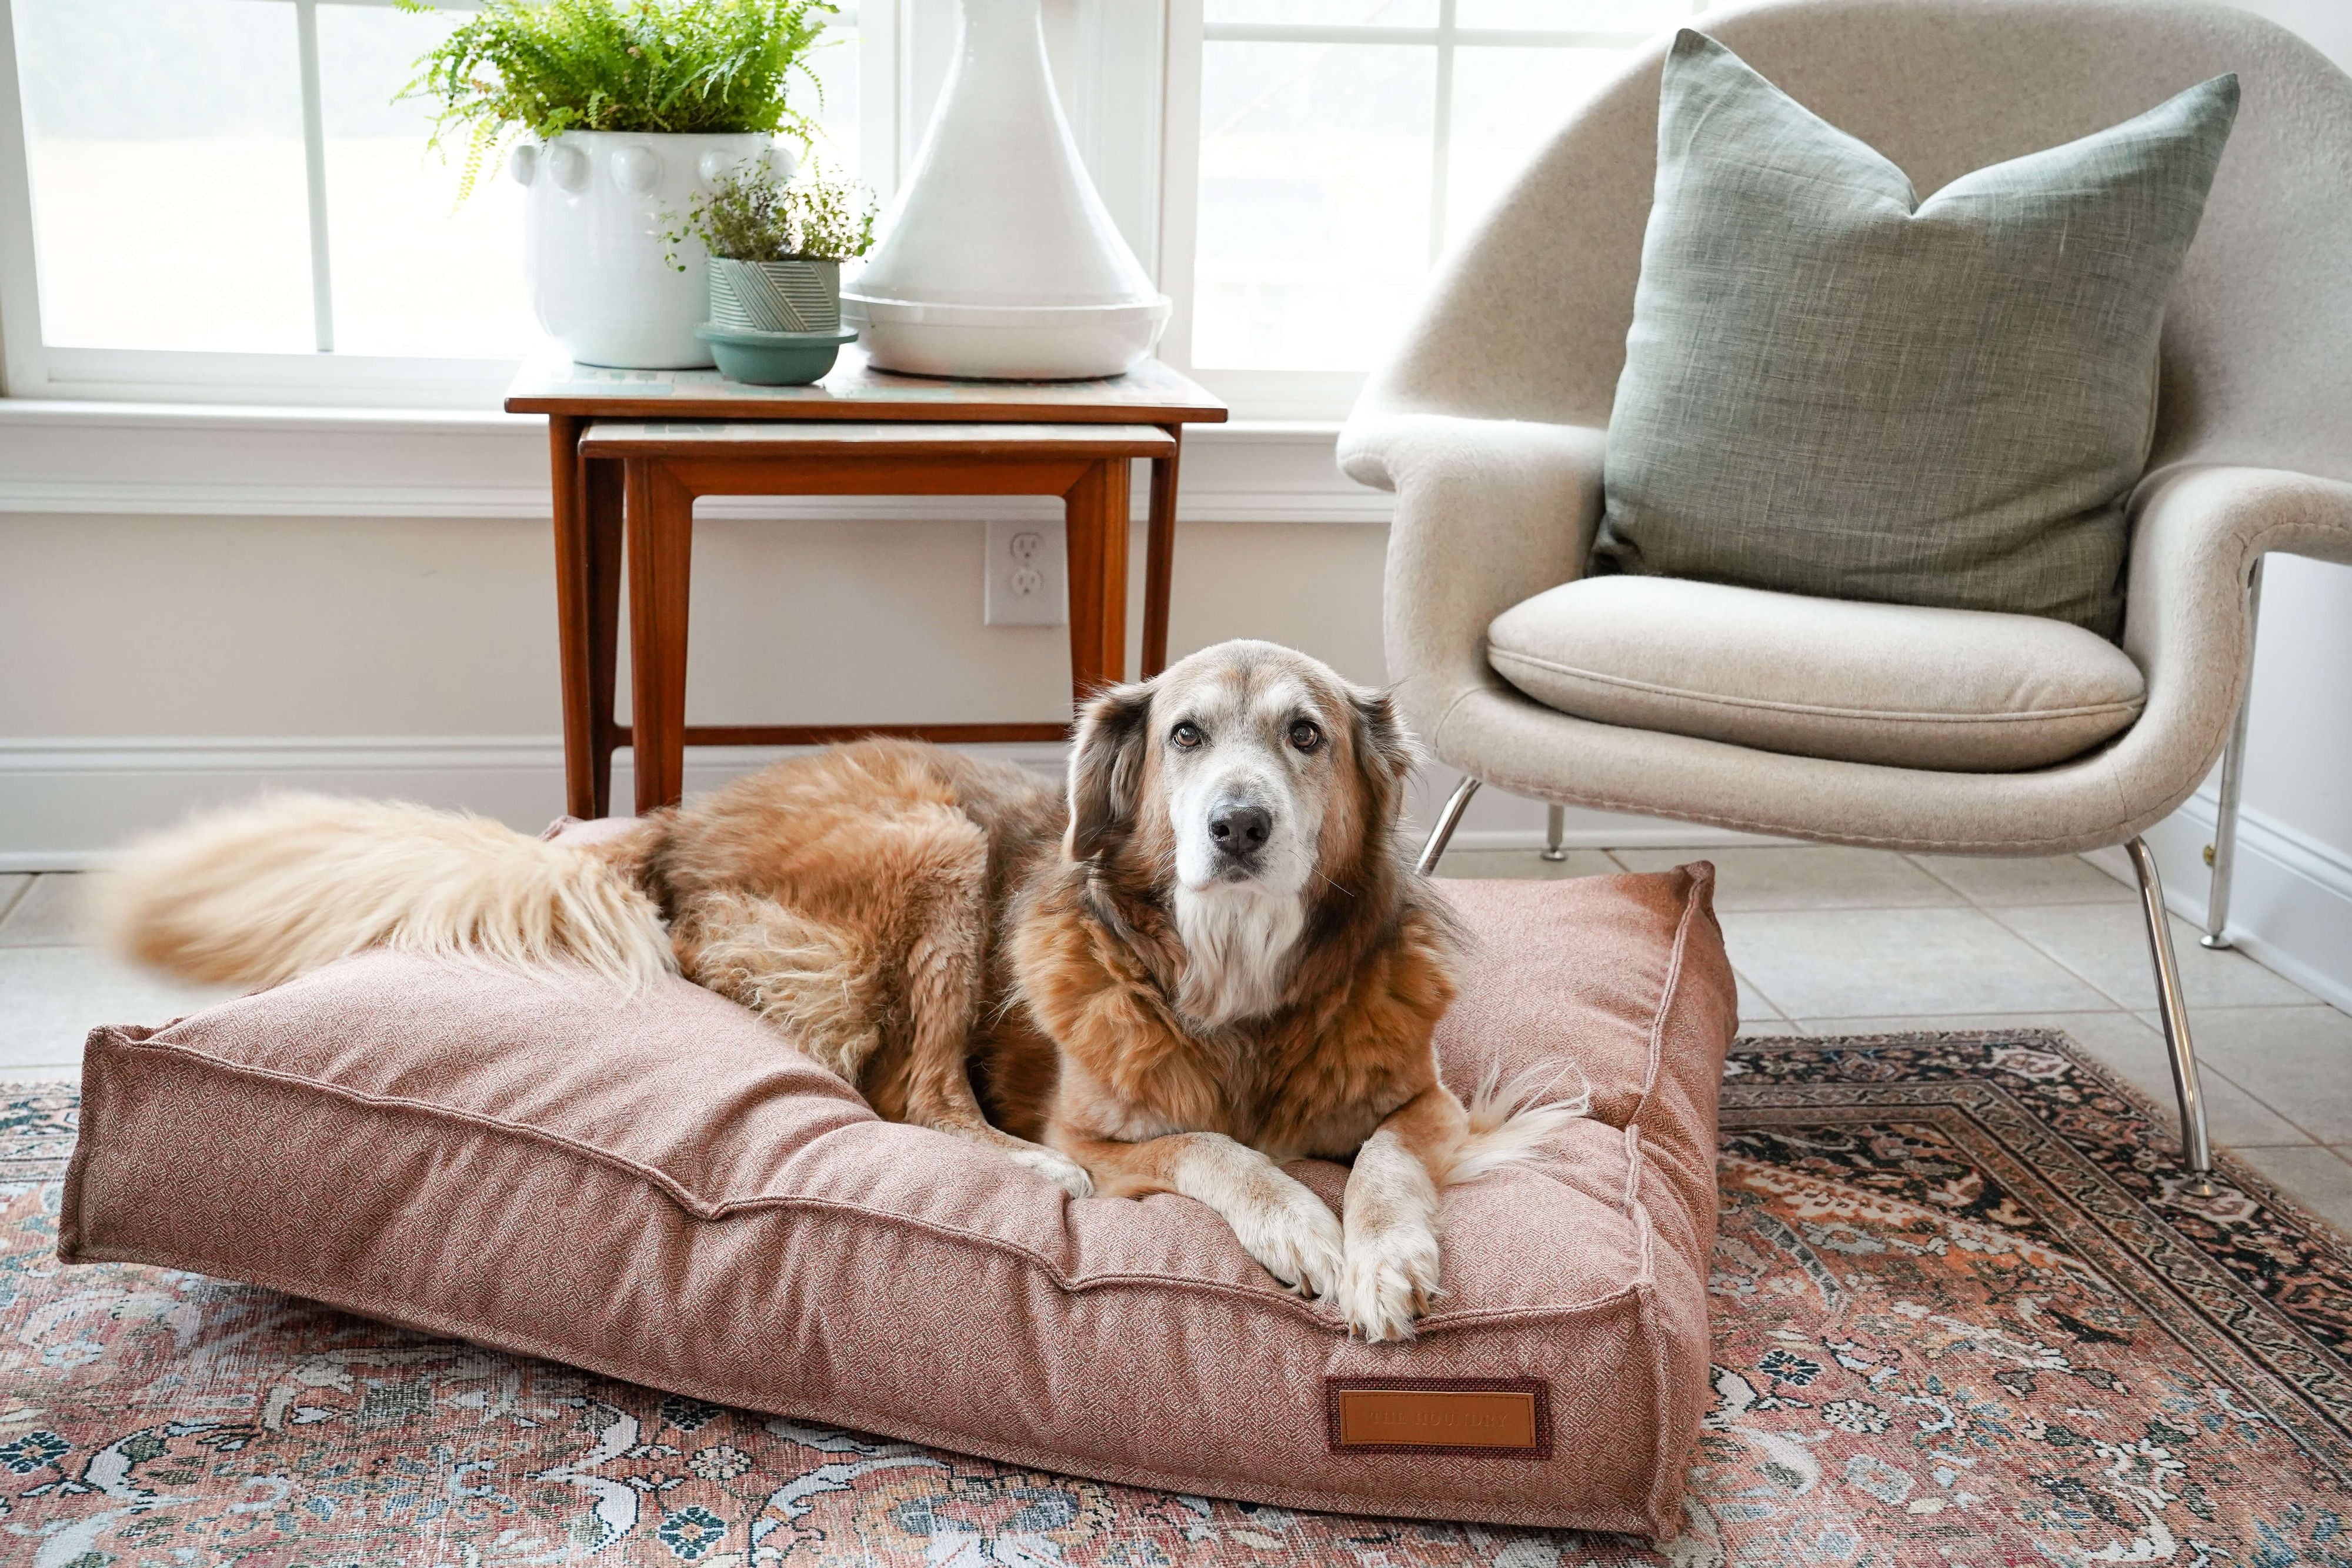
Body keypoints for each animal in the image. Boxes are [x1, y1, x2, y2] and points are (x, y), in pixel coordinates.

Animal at [110, 639, 1580, 1335]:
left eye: (1305, 736)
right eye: (1183, 735)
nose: (1237, 824)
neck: (1237, 969)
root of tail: (680, 821)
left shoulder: (1428, 1103)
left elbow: (1381, 1164)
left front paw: (1383, 1258)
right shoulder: (1110, 1124)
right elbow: (1220, 1151)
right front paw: (1300, 1230)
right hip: (935, 844)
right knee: (909, 1096)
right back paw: (1019, 1173)